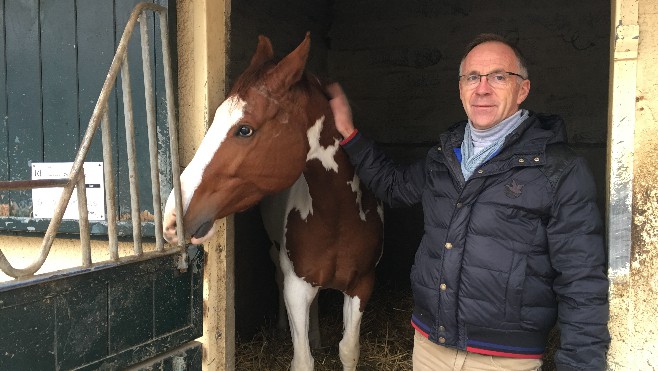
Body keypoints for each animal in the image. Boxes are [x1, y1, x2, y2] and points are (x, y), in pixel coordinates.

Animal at [161, 33, 382, 370]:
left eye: (244, 129)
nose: (173, 219)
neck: (339, 217)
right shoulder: (297, 288)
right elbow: (302, 360)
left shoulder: (361, 286)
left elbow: (348, 350)